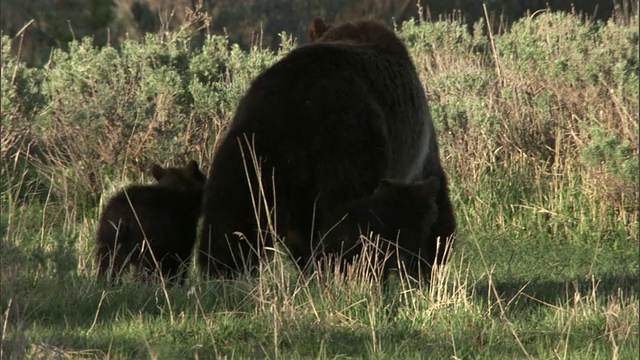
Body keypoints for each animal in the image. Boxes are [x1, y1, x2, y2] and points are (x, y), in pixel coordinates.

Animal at [200, 16, 456, 280]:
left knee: (231, 217)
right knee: (344, 219)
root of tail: (297, 104)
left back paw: (222, 272)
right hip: (349, 149)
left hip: (251, 145)